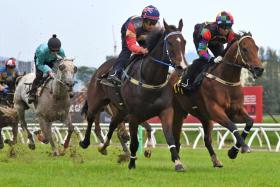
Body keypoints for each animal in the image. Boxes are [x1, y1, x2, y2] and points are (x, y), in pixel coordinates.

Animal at [79, 19, 188, 171]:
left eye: (184, 42)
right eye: (170, 43)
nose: (182, 68)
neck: (150, 79)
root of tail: (99, 69)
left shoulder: (165, 110)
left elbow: (169, 136)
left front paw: (178, 162)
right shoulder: (134, 115)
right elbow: (134, 142)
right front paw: (131, 163)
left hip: (120, 110)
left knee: (113, 125)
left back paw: (103, 147)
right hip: (97, 101)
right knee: (90, 118)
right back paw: (85, 142)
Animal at [170, 31, 264, 167]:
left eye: (256, 48)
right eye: (245, 49)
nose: (259, 69)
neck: (226, 80)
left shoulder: (235, 111)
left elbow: (250, 122)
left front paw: (233, 151)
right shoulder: (216, 111)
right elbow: (232, 126)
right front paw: (243, 147)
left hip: (204, 117)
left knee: (207, 139)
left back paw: (216, 160)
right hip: (178, 112)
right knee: (176, 137)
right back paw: (177, 160)